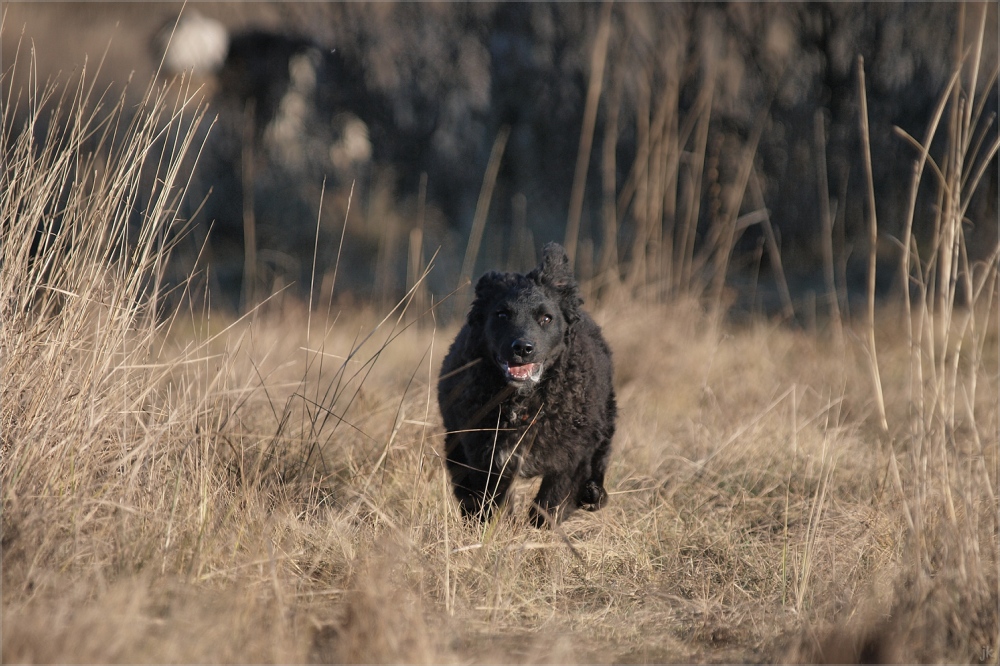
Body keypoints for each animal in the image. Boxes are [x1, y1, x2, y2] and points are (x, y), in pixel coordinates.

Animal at [440, 243, 616, 524]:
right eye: (501, 314)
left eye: (546, 318)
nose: (522, 348)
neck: (523, 403)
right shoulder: (484, 455)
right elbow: (491, 502)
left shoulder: (572, 456)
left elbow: (551, 503)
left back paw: (593, 493)